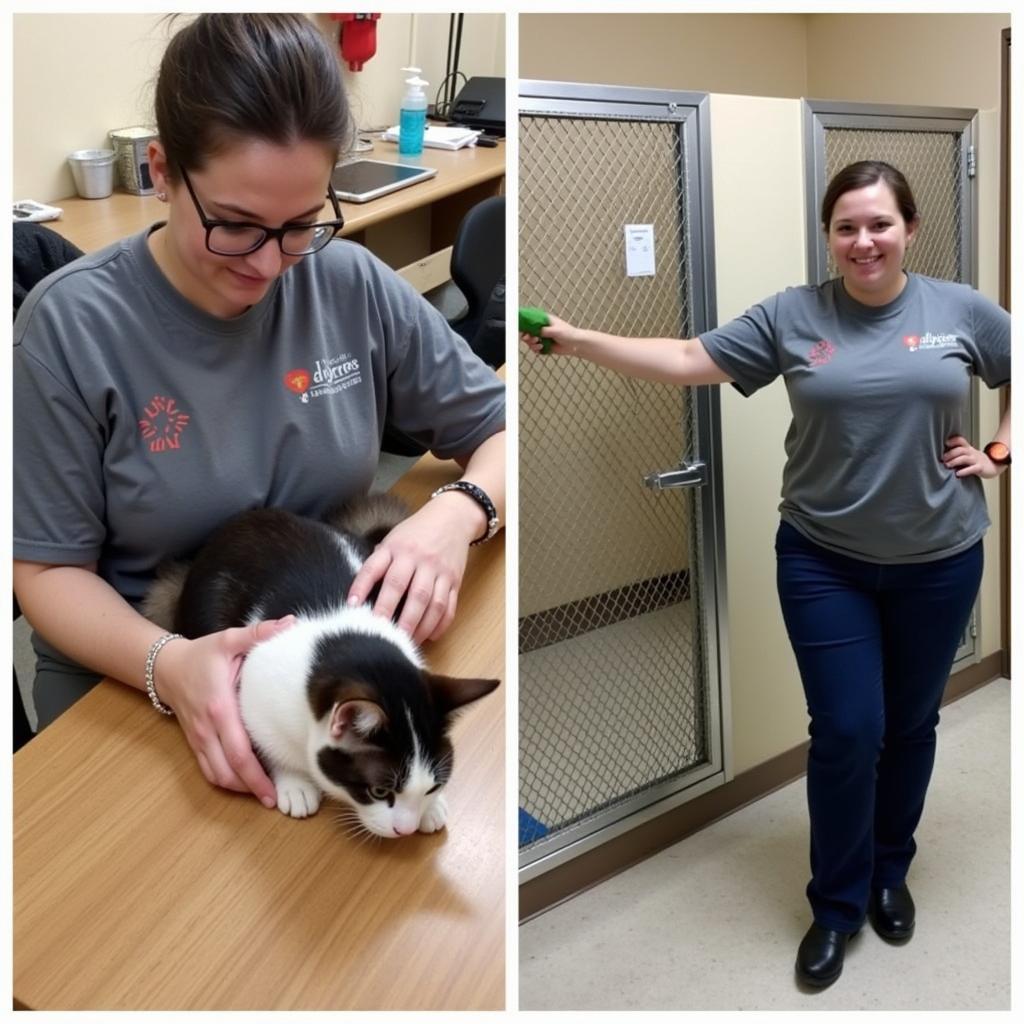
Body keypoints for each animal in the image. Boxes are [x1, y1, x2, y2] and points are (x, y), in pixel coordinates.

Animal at [143, 495, 499, 839]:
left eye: (433, 785)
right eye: (379, 790)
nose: (406, 829)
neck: (342, 640)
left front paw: (432, 807)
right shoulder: (255, 686)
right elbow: (264, 736)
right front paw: (293, 781)